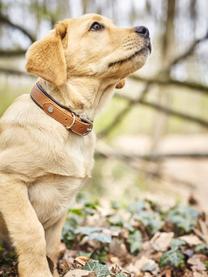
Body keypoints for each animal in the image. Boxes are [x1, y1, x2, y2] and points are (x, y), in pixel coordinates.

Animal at [0, 14, 150, 276]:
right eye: (96, 26)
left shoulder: (62, 203)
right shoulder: (9, 179)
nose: (146, 30)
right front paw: (38, 272)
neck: (67, 120)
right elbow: (32, 231)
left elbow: (52, 245)